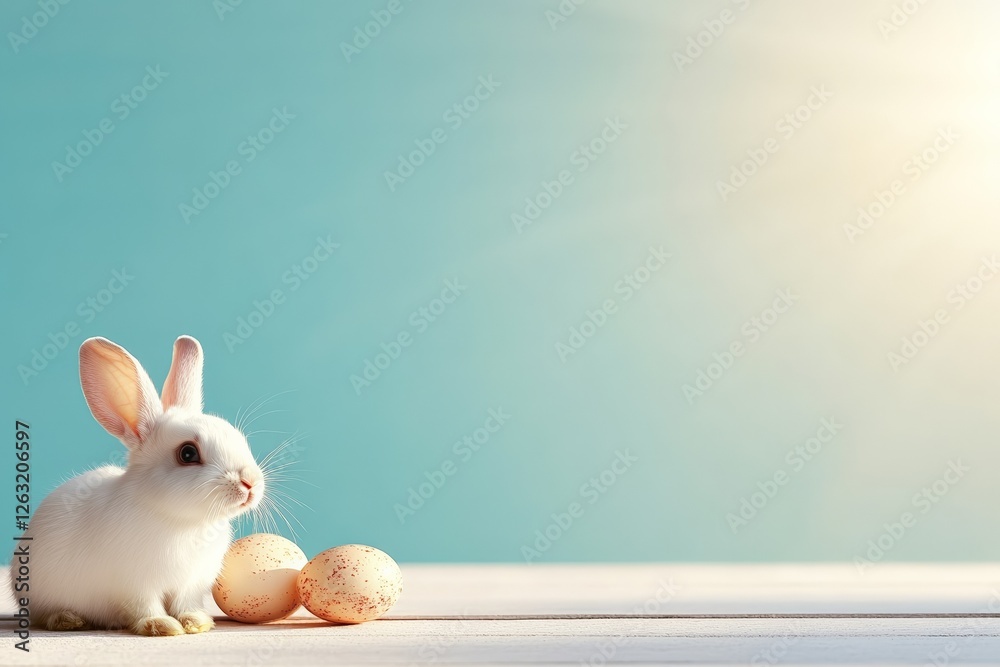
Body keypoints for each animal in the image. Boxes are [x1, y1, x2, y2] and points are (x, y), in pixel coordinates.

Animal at [10, 335, 265, 636]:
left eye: (239, 438)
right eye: (188, 453)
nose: (251, 483)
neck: (184, 521)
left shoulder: (190, 585)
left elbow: (185, 604)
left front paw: (196, 623)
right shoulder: (135, 584)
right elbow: (145, 607)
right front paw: (163, 626)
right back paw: (67, 619)